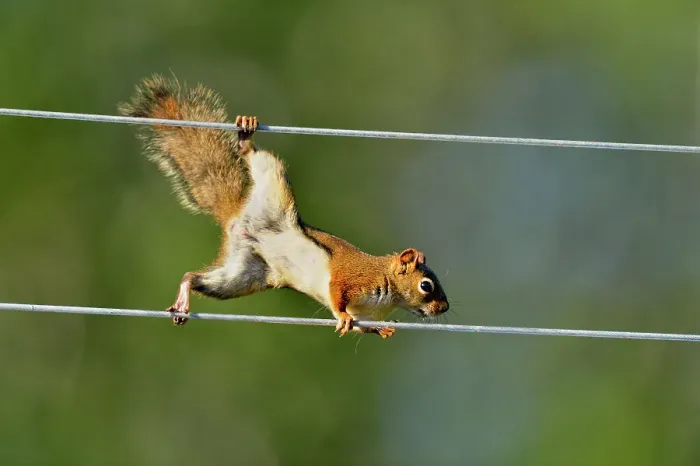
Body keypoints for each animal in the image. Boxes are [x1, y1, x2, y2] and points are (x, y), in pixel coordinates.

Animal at [118, 75, 449, 339]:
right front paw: (344, 318)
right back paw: (246, 135)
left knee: (195, 278)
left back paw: (184, 296)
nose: (444, 308)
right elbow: (338, 297)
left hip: (241, 276)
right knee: (256, 157)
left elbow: (362, 323)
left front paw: (381, 329)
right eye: (426, 286)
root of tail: (236, 215)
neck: (387, 288)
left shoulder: (363, 312)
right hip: (273, 182)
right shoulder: (350, 278)